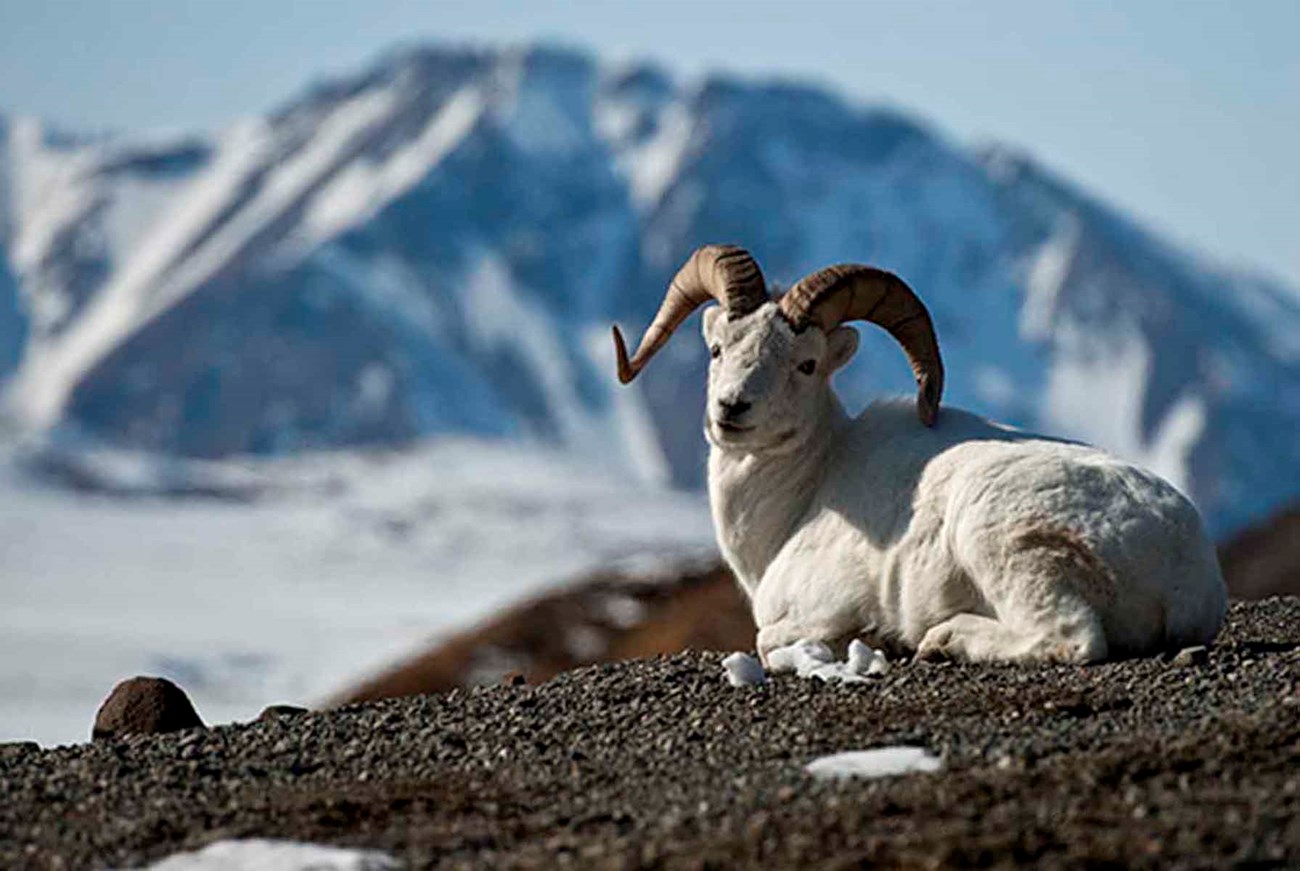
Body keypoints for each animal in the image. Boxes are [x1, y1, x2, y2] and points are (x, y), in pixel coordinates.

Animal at [613, 246, 1222, 670]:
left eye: (806, 364)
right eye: (718, 350)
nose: (731, 408)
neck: (806, 491)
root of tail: (1182, 561)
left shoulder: (817, 608)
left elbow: (768, 640)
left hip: (1004, 544)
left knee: (1071, 638)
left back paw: (940, 640)